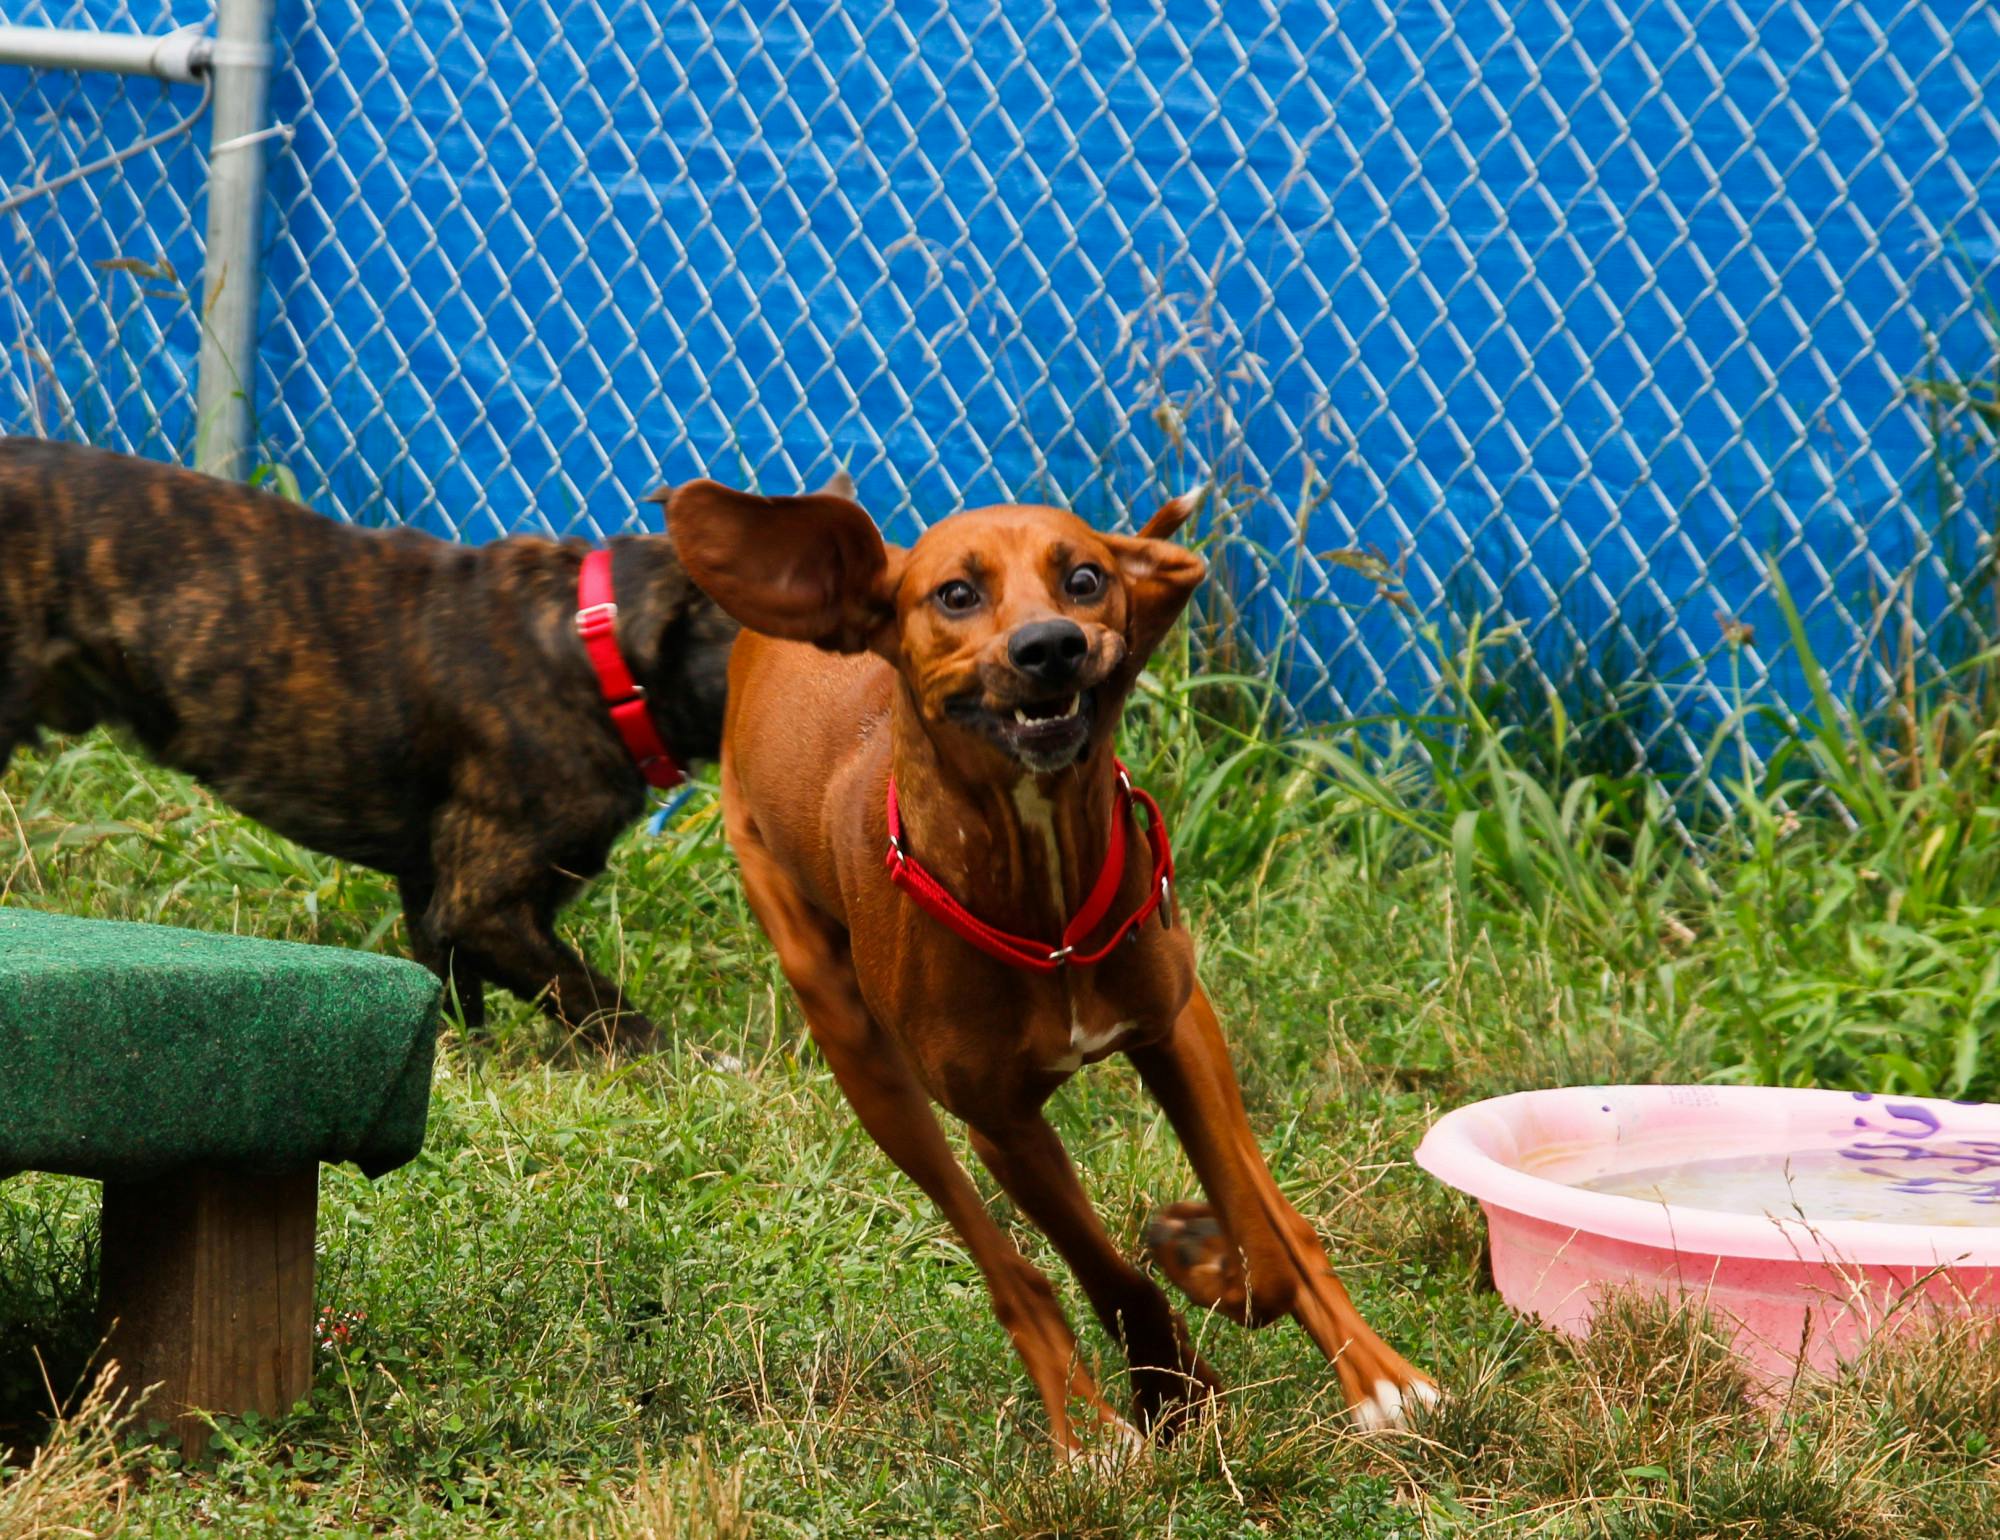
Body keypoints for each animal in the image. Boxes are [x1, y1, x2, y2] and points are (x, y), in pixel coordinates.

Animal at [1, 438, 736, 1048]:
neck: (594, 643)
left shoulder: (436, 895)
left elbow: (457, 998)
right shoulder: (484, 905)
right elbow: (599, 1000)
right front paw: (686, 1065)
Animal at [672, 480, 1440, 1456]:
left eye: (1084, 578)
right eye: (957, 594)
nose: (1051, 646)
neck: (1044, 906)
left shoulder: (1174, 1034)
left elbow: (1263, 1245)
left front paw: (1206, 1265)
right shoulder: (1000, 1124)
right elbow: (1097, 1268)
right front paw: (1168, 1380)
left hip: (1195, 1024)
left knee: (1278, 1213)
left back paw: (1372, 1373)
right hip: (855, 1046)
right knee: (1006, 1268)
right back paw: (1086, 1426)